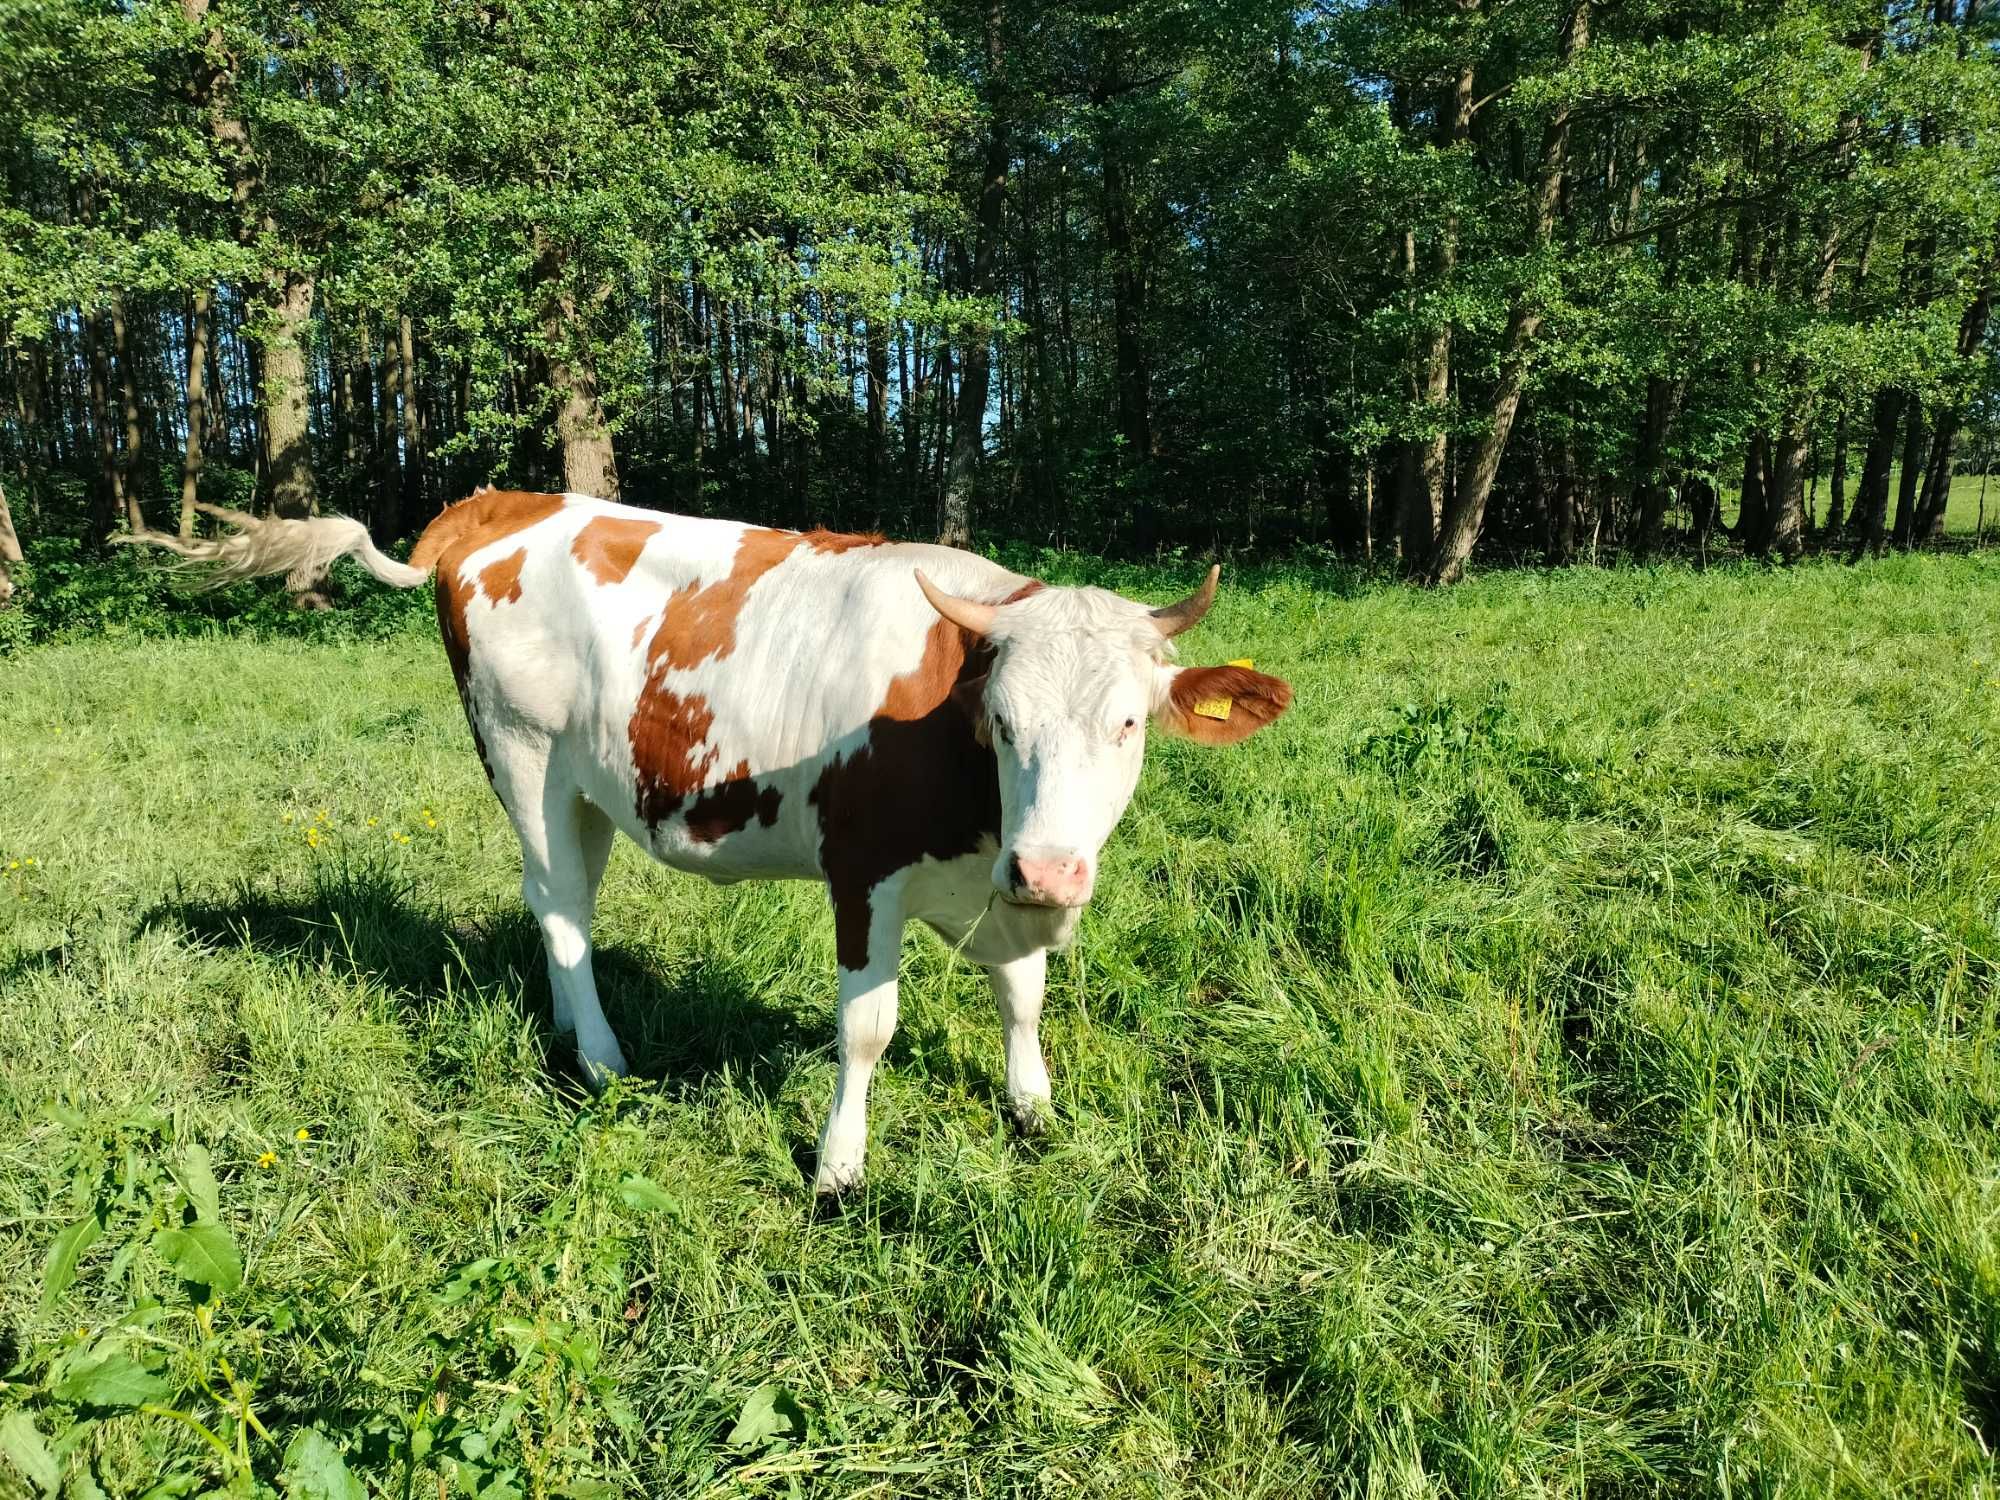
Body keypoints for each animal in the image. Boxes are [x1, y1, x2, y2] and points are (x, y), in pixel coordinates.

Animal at [148, 494, 1288, 1200]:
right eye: (1000, 724)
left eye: (1129, 724)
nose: (1051, 868)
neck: (977, 805)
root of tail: (507, 503)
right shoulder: (861, 871)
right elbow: (866, 1029)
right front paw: (837, 1170)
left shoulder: (998, 883)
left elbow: (1022, 995)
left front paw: (1031, 1110)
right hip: (519, 754)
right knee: (560, 906)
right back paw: (603, 1060)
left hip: (590, 782)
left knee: (560, 900)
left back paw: (571, 1034)